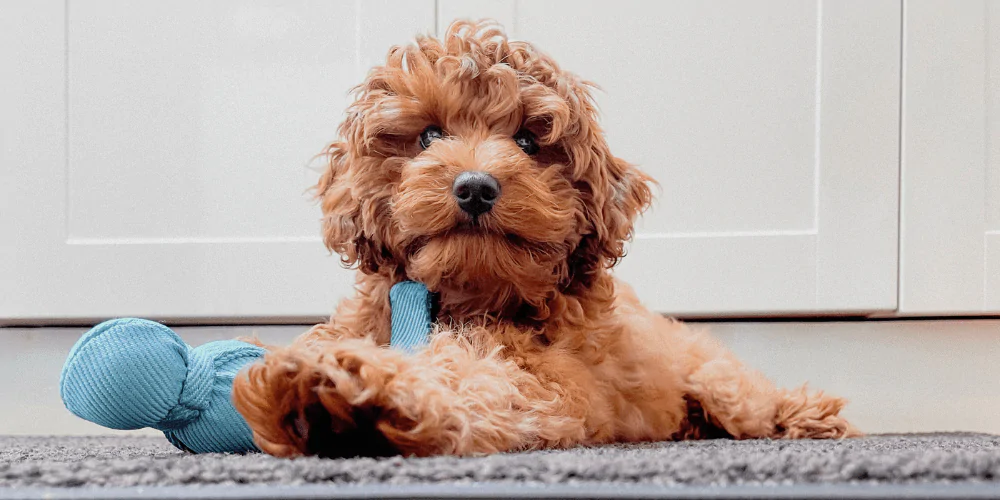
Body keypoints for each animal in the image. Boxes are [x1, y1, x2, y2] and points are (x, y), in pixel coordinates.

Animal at [230, 20, 856, 458]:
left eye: (529, 142)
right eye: (429, 135)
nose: (476, 187)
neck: (465, 297)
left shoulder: (555, 382)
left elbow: (481, 379)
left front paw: (365, 392)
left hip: (714, 377)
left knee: (750, 399)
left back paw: (811, 416)